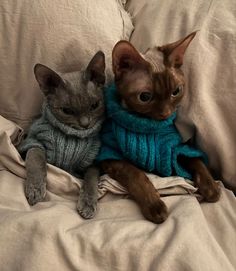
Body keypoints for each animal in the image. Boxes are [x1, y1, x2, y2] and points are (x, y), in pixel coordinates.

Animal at [18, 51, 105, 219]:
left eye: (94, 106)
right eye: (67, 111)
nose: (85, 124)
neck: (72, 137)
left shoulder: (92, 162)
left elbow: (90, 179)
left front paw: (88, 203)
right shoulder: (33, 141)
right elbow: (36, 157)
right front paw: (35, 188)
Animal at [97, 31, 220, 224]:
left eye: (176, 91)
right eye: (145, 97)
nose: (166, 113)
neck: (149, 127)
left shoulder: (179, 147)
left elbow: (196, 160)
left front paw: (210, 186)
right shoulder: (110, 157)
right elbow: (136, 174)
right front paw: (154, 205)